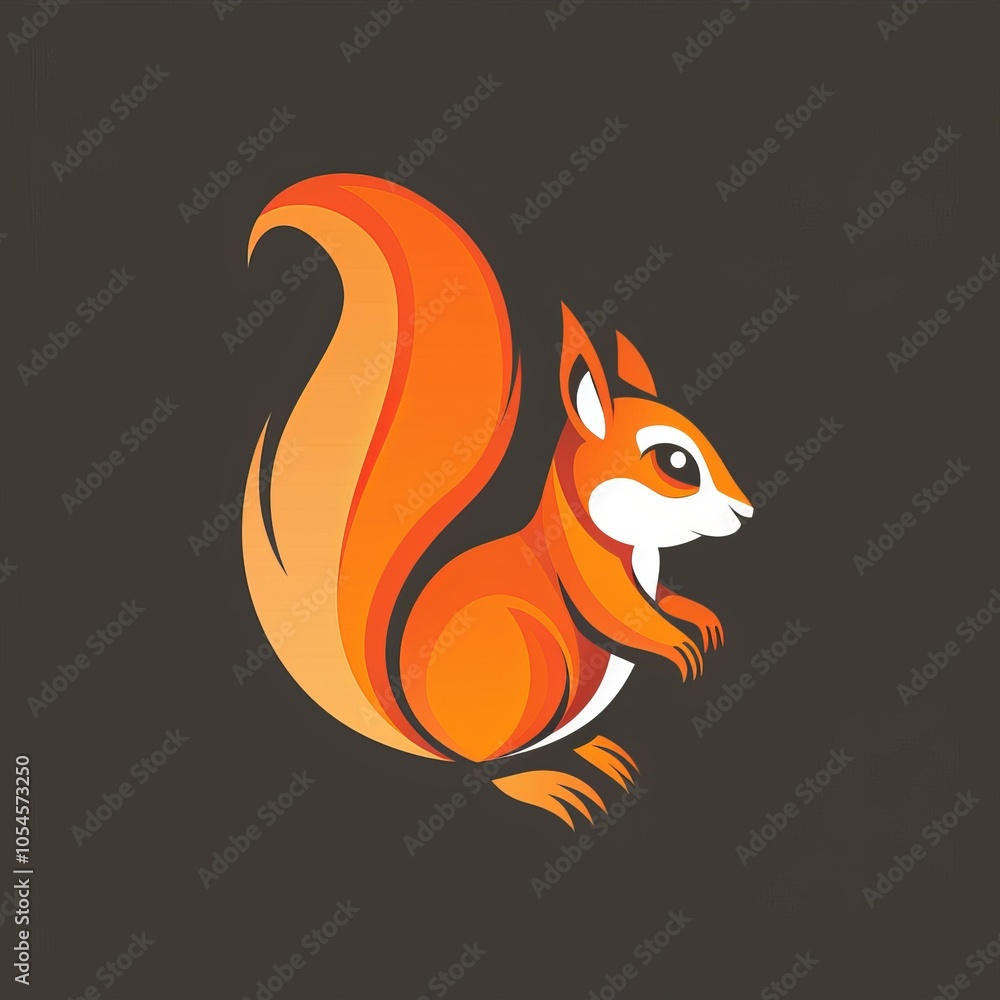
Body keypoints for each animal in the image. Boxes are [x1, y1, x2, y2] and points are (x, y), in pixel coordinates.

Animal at [241, 174, 753, 827]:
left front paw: (697, 617)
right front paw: (678, 644)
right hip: (534, 664)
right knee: (491, 767)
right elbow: (619, 613)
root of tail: (428, 735)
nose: (745, 512)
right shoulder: (585, 568)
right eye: (675, 463)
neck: (637, 544)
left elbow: (658, 598)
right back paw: (551, 785)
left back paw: (595, 753)